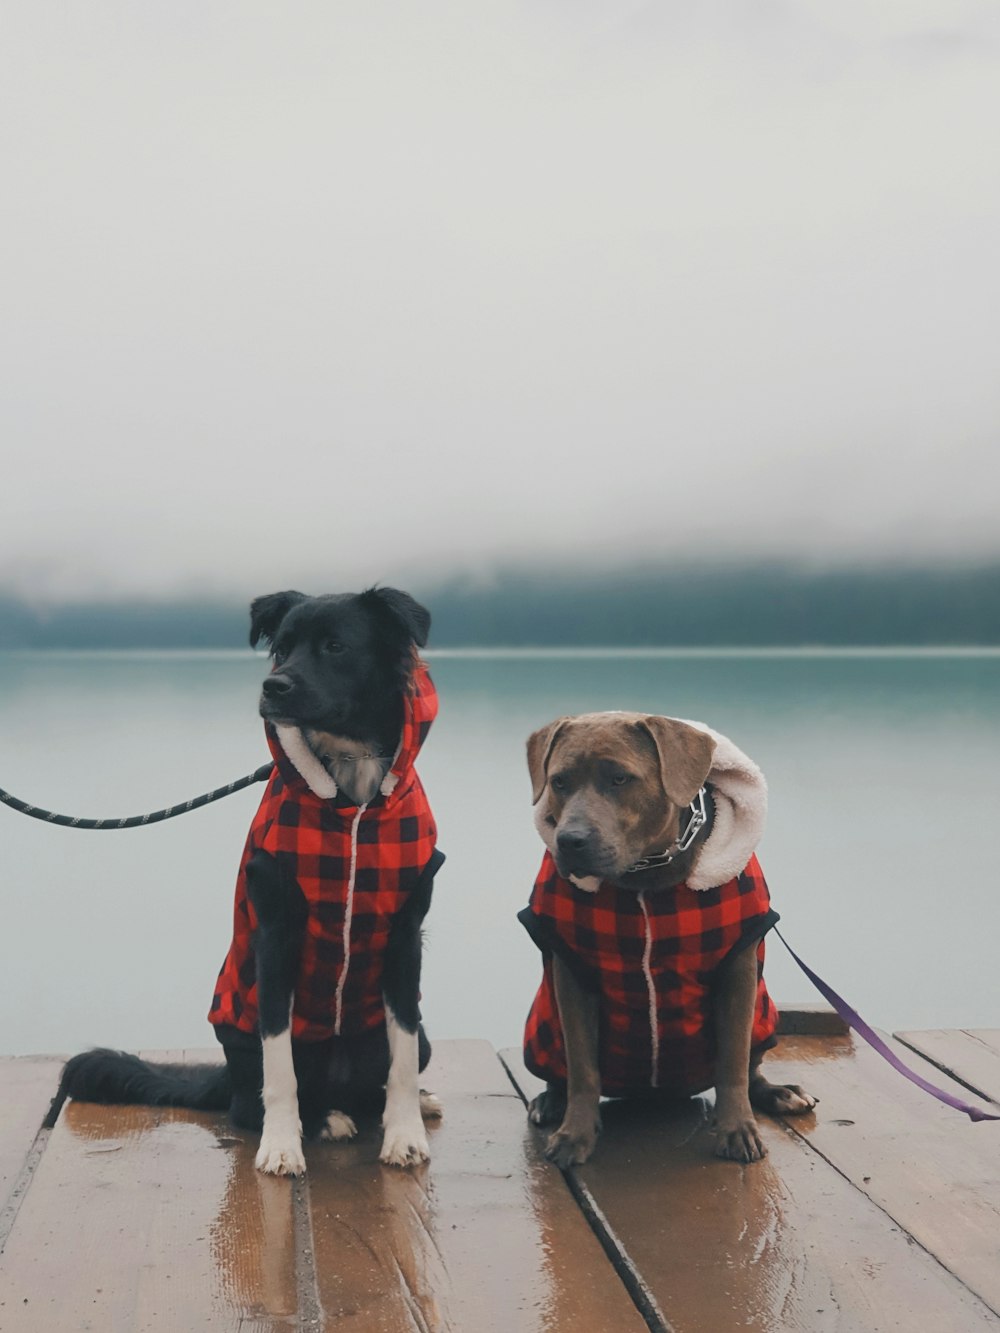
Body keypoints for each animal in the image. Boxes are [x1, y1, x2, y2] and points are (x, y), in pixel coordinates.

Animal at [50, 589, 442, 1173]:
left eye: (335, 646)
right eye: (281, 649)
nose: (272, 686)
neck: (351, 790)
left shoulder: (403, 937)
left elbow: (401, 1058)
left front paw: (404, 1135)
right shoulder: (275, 939)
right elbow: (279, 1065)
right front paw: (282, 1143)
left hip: (421, 1036)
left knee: (382, 1080)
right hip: (243, 1047)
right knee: (250, 1103)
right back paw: (320, 1120)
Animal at [520, 714, 816, 1162]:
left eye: (620, 778)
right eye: (559, 782)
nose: (569, 840)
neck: (646, 874)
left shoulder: (739, 971)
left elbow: (732, 1061)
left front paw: (737, 1128)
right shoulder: (572, 975)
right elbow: (583, 1067)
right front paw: (575, 1134)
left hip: (762, 1016)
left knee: (751, 1068)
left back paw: (780, 1094)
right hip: (545, 1022)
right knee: (562, 1071)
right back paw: (551, 1101)